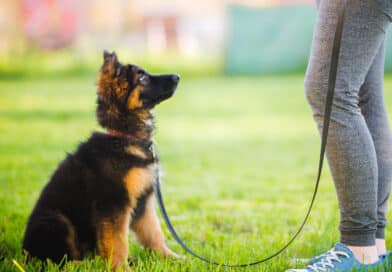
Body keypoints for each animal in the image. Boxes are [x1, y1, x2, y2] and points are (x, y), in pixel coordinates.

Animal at [23, 51, 179, 270]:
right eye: (142, 78)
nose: (177, 77)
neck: (124, 136)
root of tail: (24, 253)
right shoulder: (113, 203)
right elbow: (117, 241)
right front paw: (121, 268)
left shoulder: (144, 199)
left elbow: (154, 232)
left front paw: (170, 257)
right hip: (57, 221)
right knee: (60, 260)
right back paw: (81, 266)